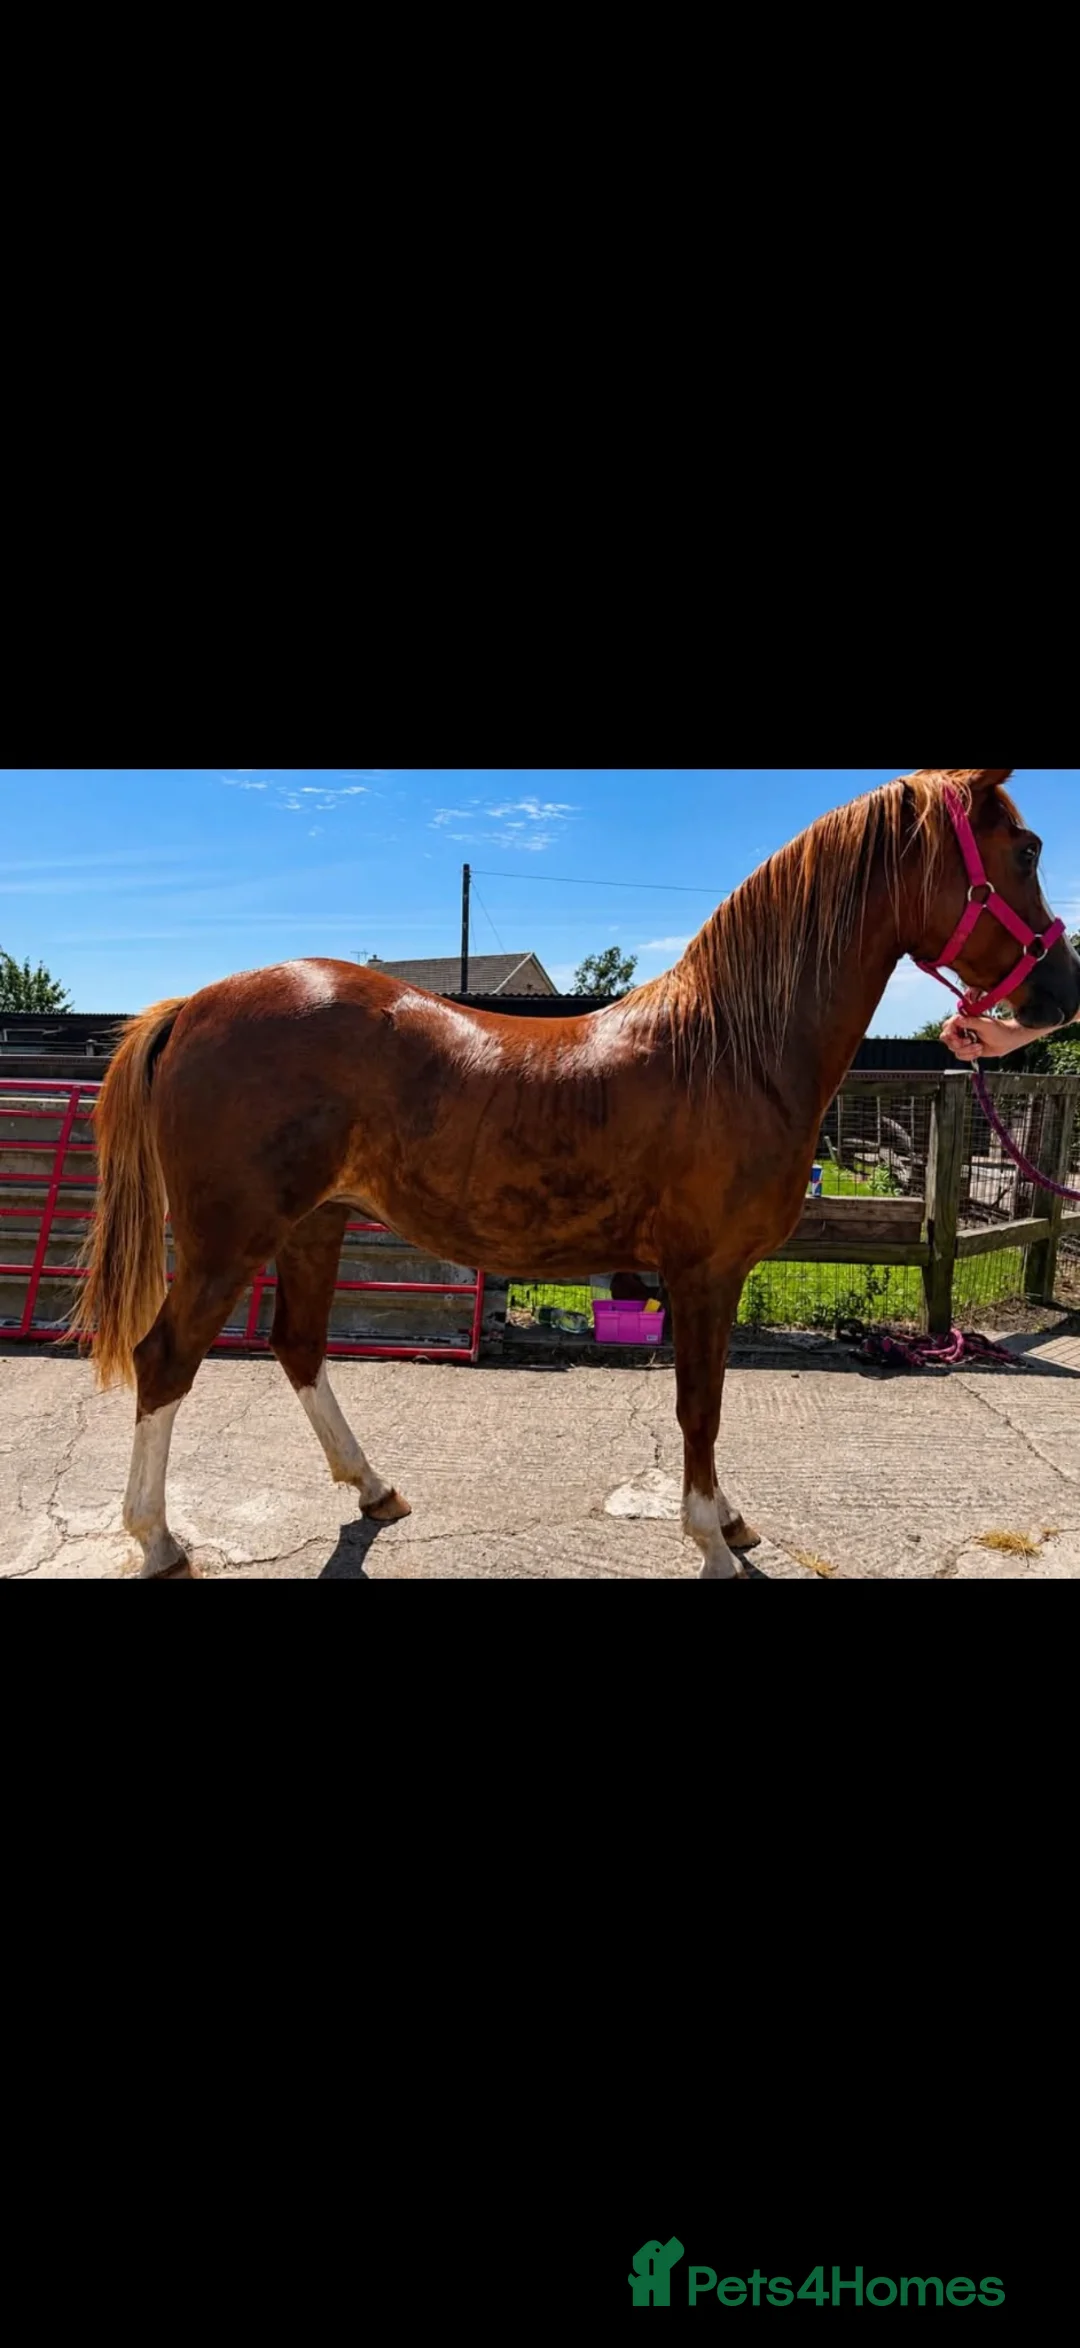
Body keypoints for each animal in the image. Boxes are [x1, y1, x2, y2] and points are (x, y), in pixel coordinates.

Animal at [70, 767, 1080, 1580]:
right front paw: (711, 1537)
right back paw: (157, 1540)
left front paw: (729, 1521)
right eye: (1026, 848)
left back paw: (374, 1489)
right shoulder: (705, 1272)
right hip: (227, 1238)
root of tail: (193, 1004)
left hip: (316, 1223)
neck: (734, 1048)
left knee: (300, 1349)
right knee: (166, 1360)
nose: (1060, 995)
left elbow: (708, 1405)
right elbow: (701, 1408)